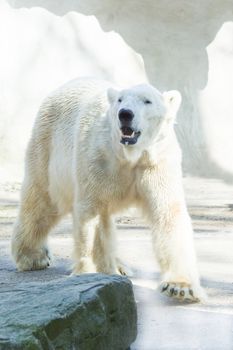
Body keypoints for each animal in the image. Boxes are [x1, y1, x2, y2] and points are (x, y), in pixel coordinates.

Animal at [11, 78, 204, 302]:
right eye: (120, 99)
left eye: (147, 101)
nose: (125, 113)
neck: (130, 155)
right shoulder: (99, 160)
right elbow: (93, 213)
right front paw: (91, 273)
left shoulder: (156, 162)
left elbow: (168, 214)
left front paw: (180, 287)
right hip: (48, 144)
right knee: (42, 199)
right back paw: (33, 256)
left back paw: (120, 266)